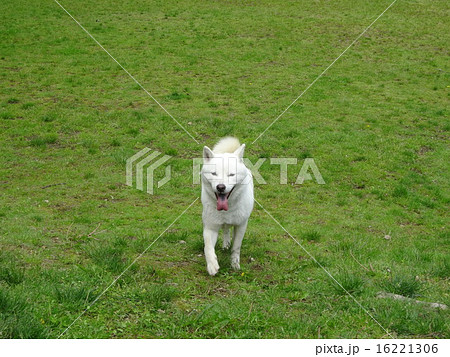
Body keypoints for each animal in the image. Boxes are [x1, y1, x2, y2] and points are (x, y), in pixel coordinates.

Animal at [200, 137, 253, 276]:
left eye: (231, 175)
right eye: (214, 173)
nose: (221, 187)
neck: (226, 209)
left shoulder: (241, 226)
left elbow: (236, 247)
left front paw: (235, 265)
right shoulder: (210, 227)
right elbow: (207, 247)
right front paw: (212, 265)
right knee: (225, 229)